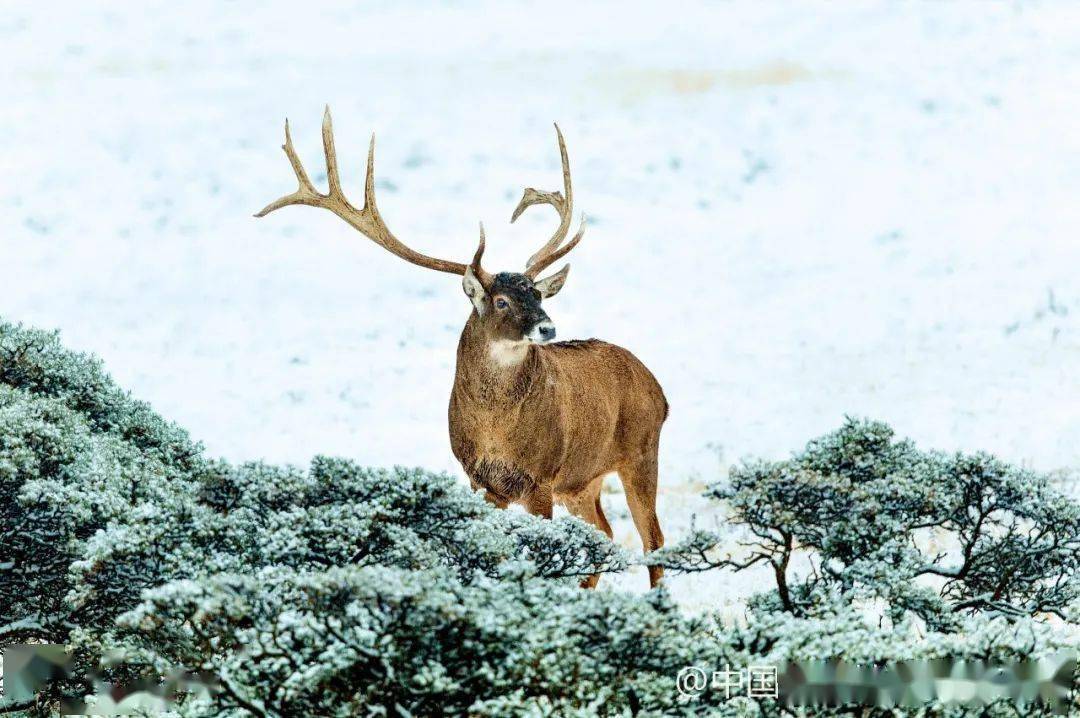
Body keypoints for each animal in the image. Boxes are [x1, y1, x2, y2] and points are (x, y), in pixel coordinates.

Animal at [259, 109, 665, 587]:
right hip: (583, 480)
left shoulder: (541, 477)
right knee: (604, 531)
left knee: (653, 539)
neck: (495, 429)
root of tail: (657, 387)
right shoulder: (479, 480)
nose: (547, 327)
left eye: (538, 294)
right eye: (502, 300)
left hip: (641, 451)